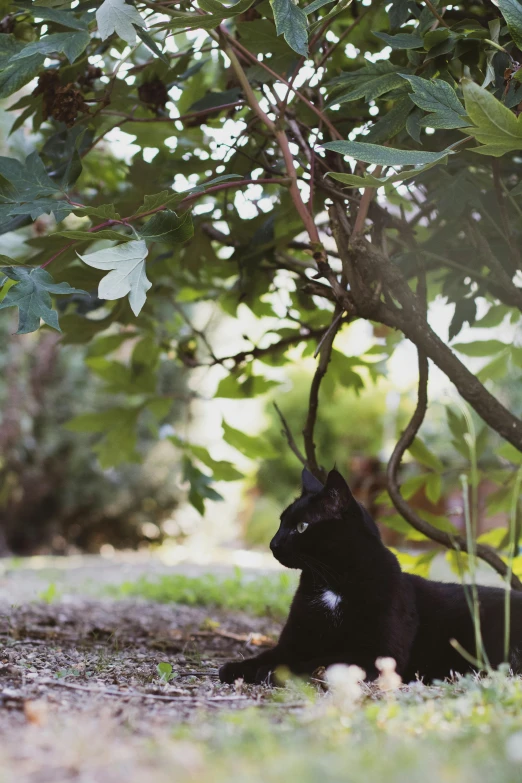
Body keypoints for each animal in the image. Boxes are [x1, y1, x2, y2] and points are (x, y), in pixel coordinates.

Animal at [217, 468, 520, 684]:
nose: (273, 544)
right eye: (281, 522)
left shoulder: (377, 652)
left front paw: (274, 672)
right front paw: (239, 667)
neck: (333, 582)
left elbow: (321, 660)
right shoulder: (294, 641)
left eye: (302, 526)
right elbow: (270, 654)